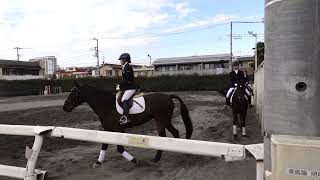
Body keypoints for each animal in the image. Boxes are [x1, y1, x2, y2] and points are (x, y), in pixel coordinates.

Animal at [62, 82, 192, 167]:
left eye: (73, 93)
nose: (65, 107)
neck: (106, 105)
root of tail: (168, 96)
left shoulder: (119, 129)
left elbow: (120, 148)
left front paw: (135, 161)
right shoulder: (107, 129)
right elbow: (104, 145)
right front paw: (98, 162)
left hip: (161, 120)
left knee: (165, 136)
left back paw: (157, 158)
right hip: (164, 121)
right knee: (174, 133)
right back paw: (178, 152)